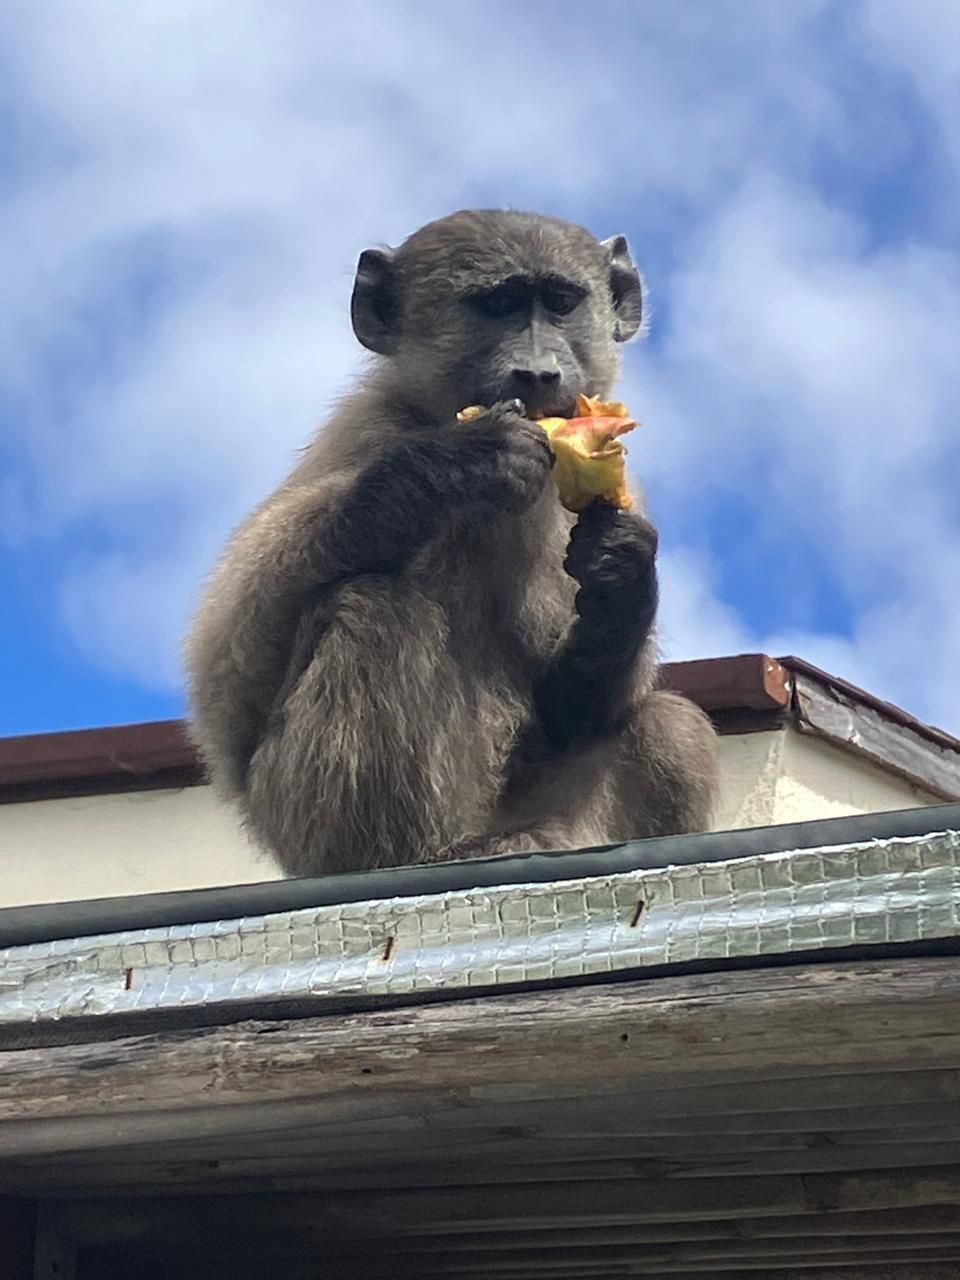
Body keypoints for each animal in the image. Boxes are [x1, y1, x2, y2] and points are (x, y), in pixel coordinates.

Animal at [185, 209, 718, 878]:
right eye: (498, 305)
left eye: (560, 302)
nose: (538, 373)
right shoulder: (367, 429)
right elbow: (228, 678)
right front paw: (452, 467)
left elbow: (572, 713)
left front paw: (623, 571)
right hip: (302, 827)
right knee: (381, 609)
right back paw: (408, 857)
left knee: (669, 726)